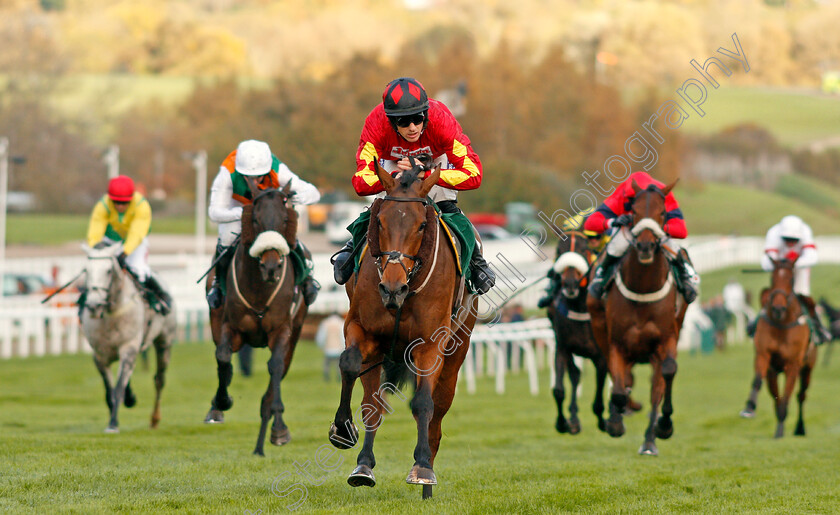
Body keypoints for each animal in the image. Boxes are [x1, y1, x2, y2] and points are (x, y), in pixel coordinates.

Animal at [81, 244, 176, 434]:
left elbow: (118, 389)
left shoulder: (129, 348)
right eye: (86, 270)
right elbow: (109, 392)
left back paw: (155, 419)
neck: (112, 314)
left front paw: (112, 424)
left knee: (159, 380)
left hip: (164, 342)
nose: (94, 305)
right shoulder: (99, 356)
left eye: (109, 271)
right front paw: (116, 414)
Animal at [203, 180, 308, 456]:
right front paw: (221, 401)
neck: (260, 289)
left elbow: (275, 367)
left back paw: (263, 442)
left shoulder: (282, 330)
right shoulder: (230, 327)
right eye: (257, 220)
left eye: (285, 219)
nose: (271, 267)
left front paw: (280, 427)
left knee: (277, 375)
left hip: (296, 332)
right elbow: (223, 357)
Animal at [740, 260, 816, 438]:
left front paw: (780, 431)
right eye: (772, 277)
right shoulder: (765, 358)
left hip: (808, 368)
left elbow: (786, 397)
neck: (782, 324)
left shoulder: (793, 365)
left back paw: (800, 428)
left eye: (791, 279)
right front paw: (749, 407)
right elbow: (759, 382)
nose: (778, 309)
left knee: (801, 395)